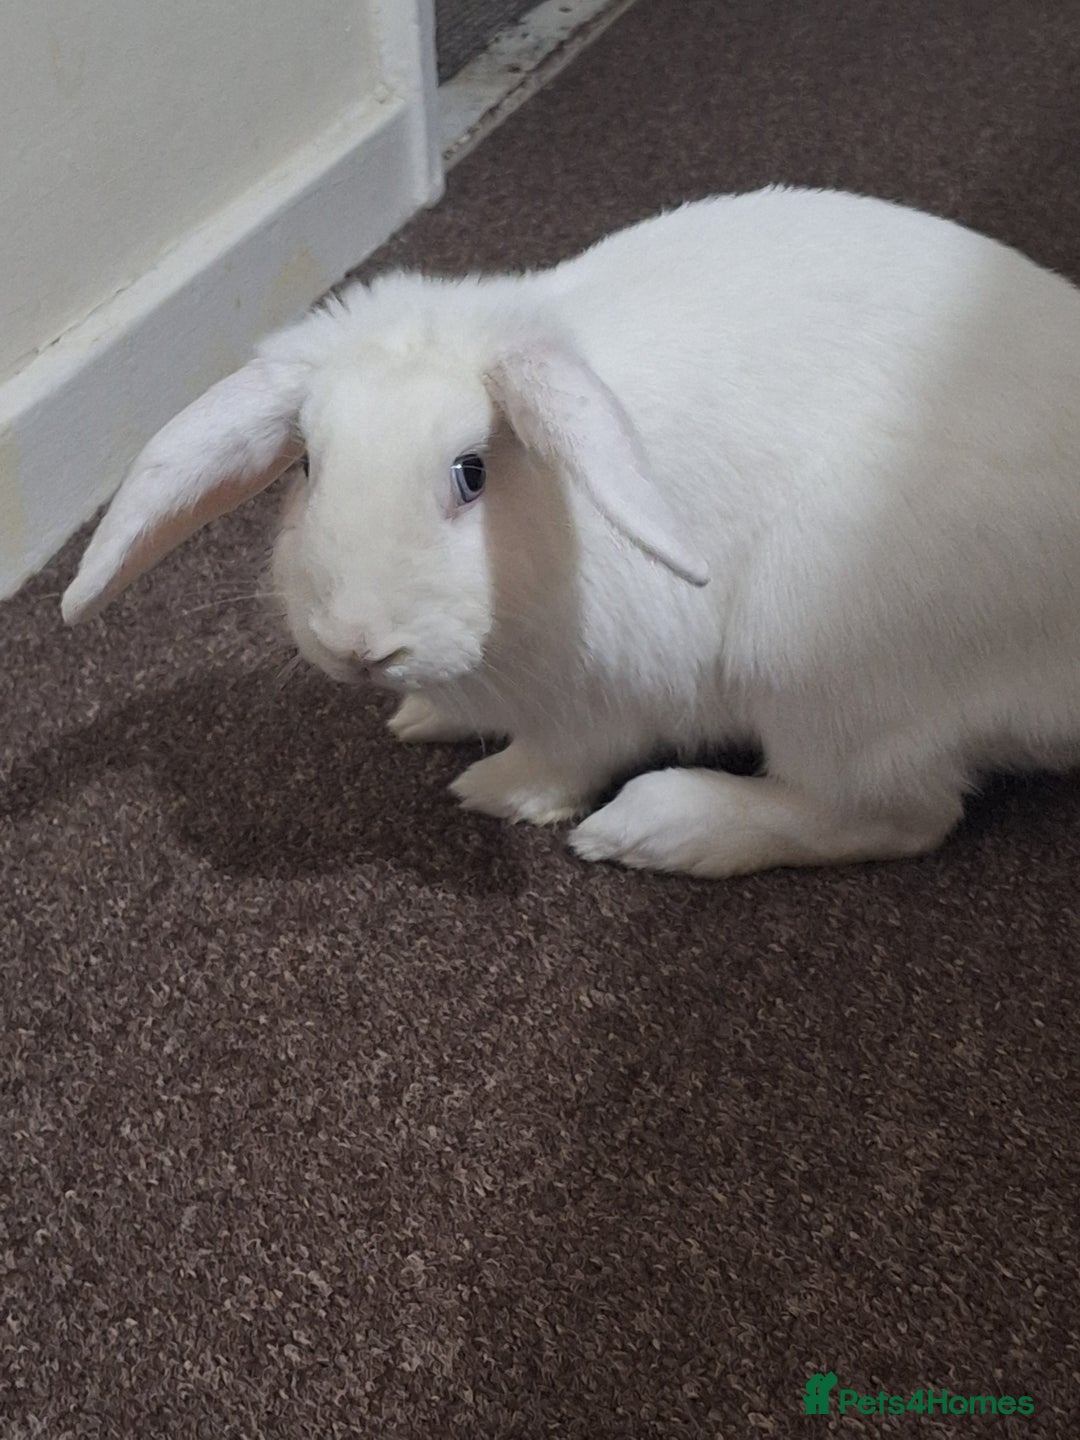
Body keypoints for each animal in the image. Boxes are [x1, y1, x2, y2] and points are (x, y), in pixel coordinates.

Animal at [62, 185, 1080, 877]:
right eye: (309, 466)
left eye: (471, 472)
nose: (359, 647)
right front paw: (422, 717)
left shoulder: (608, 700)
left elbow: (561, 763)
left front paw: (493, 792)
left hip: (820, 666)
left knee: (897, 814)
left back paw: (659, 828)